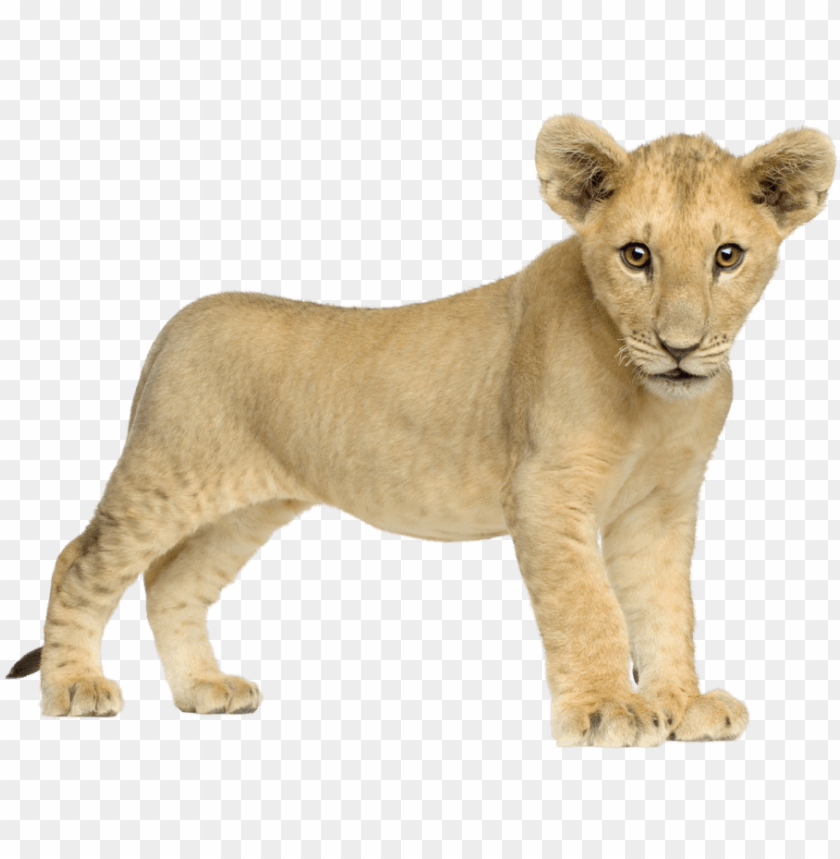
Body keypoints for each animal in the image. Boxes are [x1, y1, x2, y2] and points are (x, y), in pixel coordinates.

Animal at [7, 116, 835, 746]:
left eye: (727, 256)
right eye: (637, 255)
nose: (680, 346)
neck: (653, 400)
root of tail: (174, 323)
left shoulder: (658, 509)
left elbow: (666, 608)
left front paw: (681, 703)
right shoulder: (546, 493)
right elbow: (589, 606)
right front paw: (609, 709)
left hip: (246, 508)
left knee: (171, 580)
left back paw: (203, 687)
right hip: (167, 472)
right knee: (78, 560)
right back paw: (74, 687)